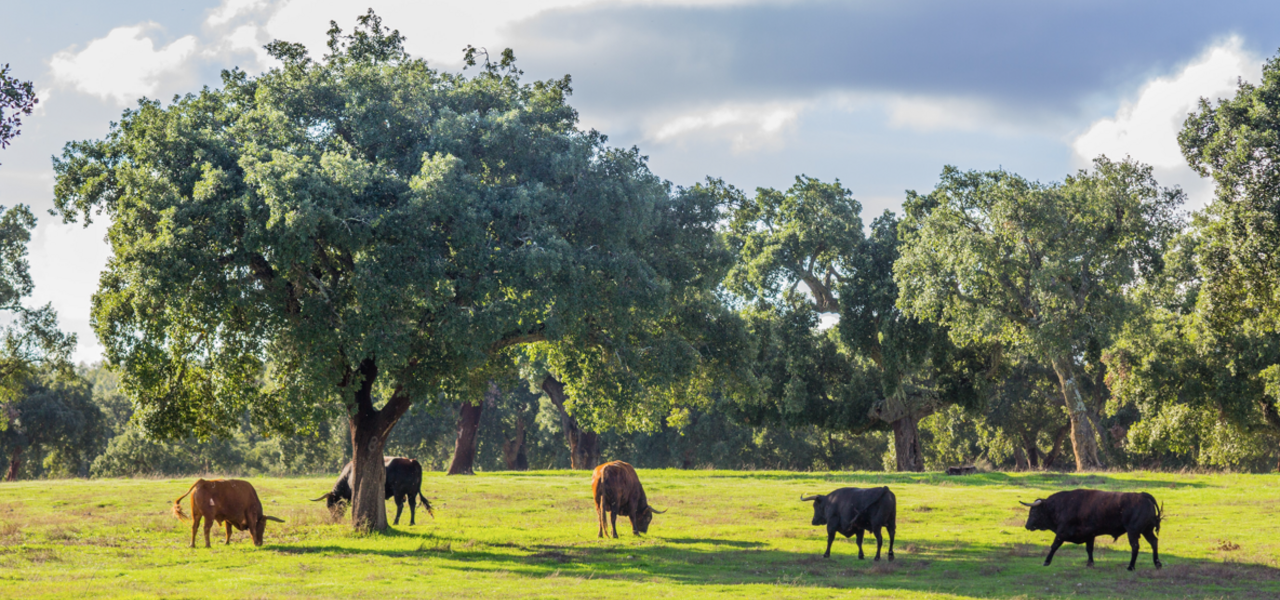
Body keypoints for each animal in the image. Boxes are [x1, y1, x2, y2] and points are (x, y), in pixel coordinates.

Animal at [1020, 489, 1163, 571]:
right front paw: (1090, 563)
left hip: (1133, 532)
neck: (1061, 506)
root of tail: (1143, 495)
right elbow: (1089, 549)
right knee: (1154, 542)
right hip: (1147, 530)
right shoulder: (1090, 535)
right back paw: (1157, 564)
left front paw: (1046, 561)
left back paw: (1131, 566)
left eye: (1034, 511)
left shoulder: (1062, 532)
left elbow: (1054, 546)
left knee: (1135, 547)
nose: (1027, 525)